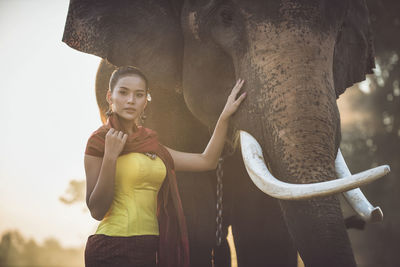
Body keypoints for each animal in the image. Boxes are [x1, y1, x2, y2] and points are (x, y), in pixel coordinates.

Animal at [63, 1, 388, 266]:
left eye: (341, 29)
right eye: (226, 16)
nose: (377, 214)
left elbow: (264, 229)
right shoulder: (160, 100)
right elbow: (195, 219)